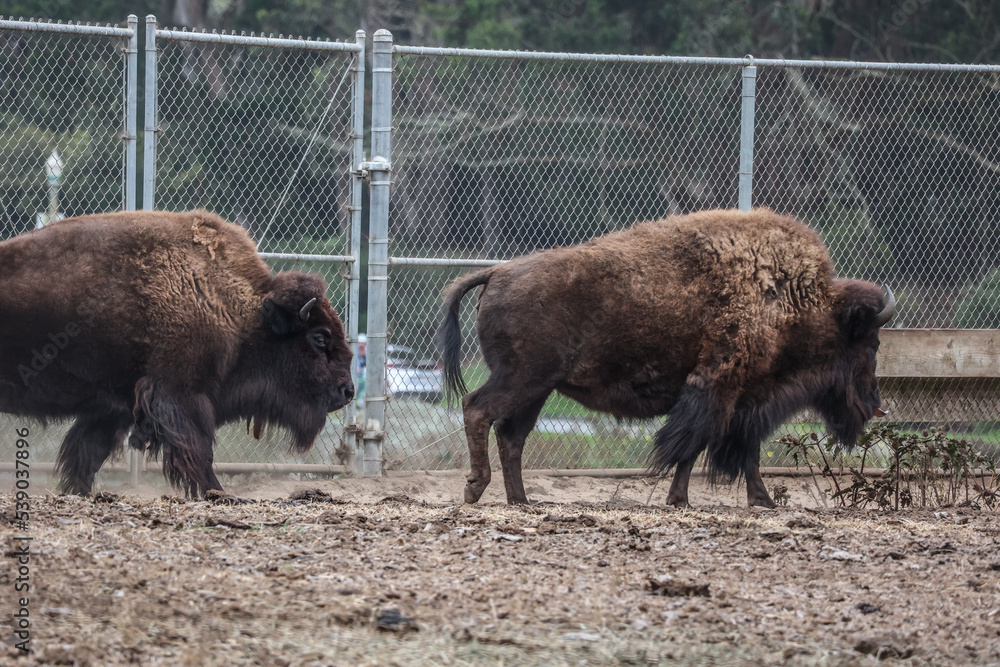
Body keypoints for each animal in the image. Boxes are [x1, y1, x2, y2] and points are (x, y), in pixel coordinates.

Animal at [0, 210, 354, 497]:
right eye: (320, 338)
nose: (348, 391)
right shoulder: (181, 392)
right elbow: (200, 448)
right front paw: (218, 492)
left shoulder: (111, 408)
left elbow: (86, 452)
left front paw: (79, 491)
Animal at [438, 208, 895, 507]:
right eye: (870, 344)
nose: (875, 404)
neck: (794, 300)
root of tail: (497, 272)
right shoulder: (721, 391)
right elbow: (702, 446)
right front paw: (712, 499)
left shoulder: (739, 401)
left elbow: (727, 449)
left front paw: (736, 500)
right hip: (522, 379)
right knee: (478, 409)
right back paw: (476, 489)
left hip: (538, 388)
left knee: (512, 435)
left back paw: (521, 500)